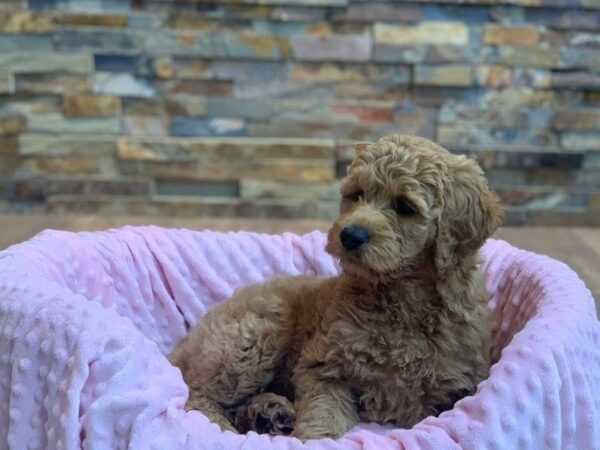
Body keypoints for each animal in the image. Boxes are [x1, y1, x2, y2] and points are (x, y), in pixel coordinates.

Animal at [169, 135, 502, 442]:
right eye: (357, 195)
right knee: (195, 393)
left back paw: (269, 412)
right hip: (257, 333)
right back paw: (225, 428)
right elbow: (323, 410)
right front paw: (315, 439)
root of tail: (184, 344)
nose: (350, 235)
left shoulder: (456, 387)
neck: (400, 298)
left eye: (404, 206)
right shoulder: (324, 367)